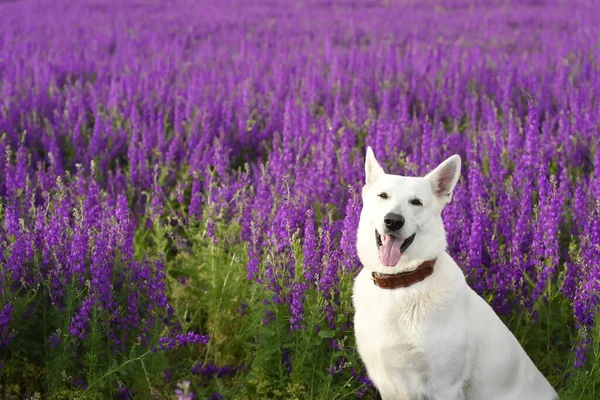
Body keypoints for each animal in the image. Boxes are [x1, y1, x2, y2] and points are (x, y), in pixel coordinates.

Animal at [352, 148, 556, 400]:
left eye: (416, 202)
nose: (393, 221)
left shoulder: (444, 385)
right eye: (383, 196)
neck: (400, 282)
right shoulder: (388, 383)